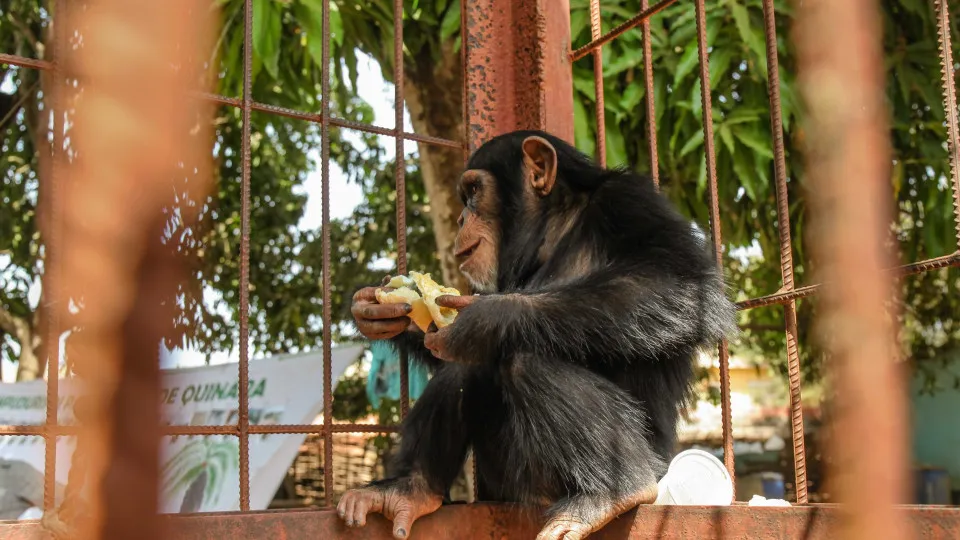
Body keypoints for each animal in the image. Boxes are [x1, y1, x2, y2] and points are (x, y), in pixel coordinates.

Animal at [340, 129, 736, 536]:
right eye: (464, 198)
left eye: (473, 191)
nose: (463, 216)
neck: (558, 226)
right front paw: (378, 310)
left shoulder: (631, 200)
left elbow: (681, 283)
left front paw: (487, 319)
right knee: (462, 369)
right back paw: (409, 489)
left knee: (522, 360)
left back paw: (614, 491)